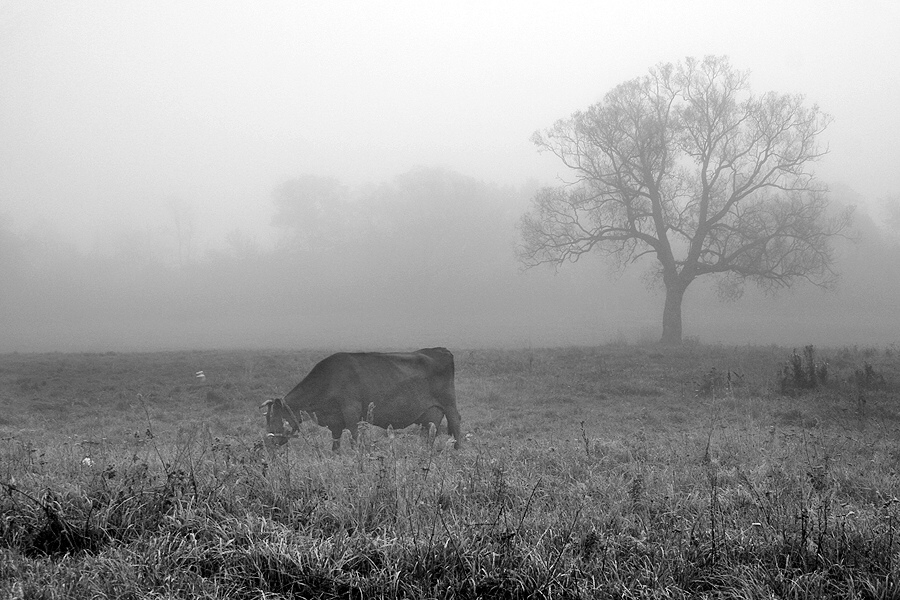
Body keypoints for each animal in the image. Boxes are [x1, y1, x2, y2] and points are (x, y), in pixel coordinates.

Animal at [258, 346, 458, 450]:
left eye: (275, 419)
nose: (267, 443)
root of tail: (440, 350)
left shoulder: (351, 412)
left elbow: (354, 440)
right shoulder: (335, 421)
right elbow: (336, 443)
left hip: (448, 402)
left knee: (456, 423)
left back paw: (457, 451)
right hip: (431, 412)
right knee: (429, 431)